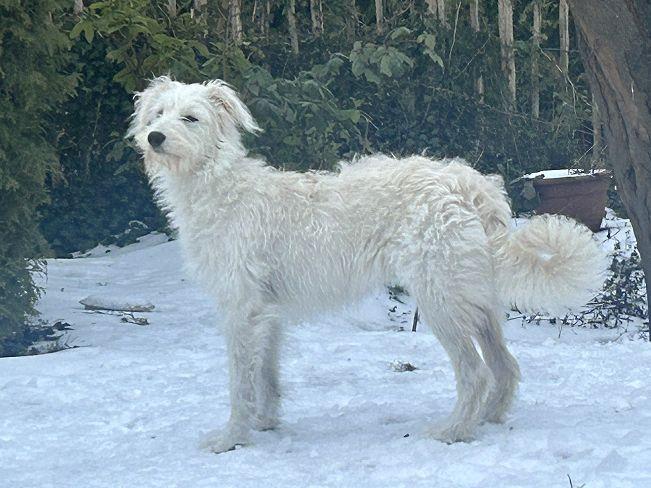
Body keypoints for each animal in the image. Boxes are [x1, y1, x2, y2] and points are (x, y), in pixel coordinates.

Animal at [128, 77, 605, 453]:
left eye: (191, 118)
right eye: (159, 113)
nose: (154, 137)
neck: (218, 184)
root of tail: (468, 184)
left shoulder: (241, 310)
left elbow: (240, 383)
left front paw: (232, 438)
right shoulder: (266, 313)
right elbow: (266, 375)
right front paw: (265, 424)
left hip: (440, 302)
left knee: (475, 373)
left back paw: (454, 430)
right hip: (473, 299)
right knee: (504, 367)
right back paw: (486, 419)